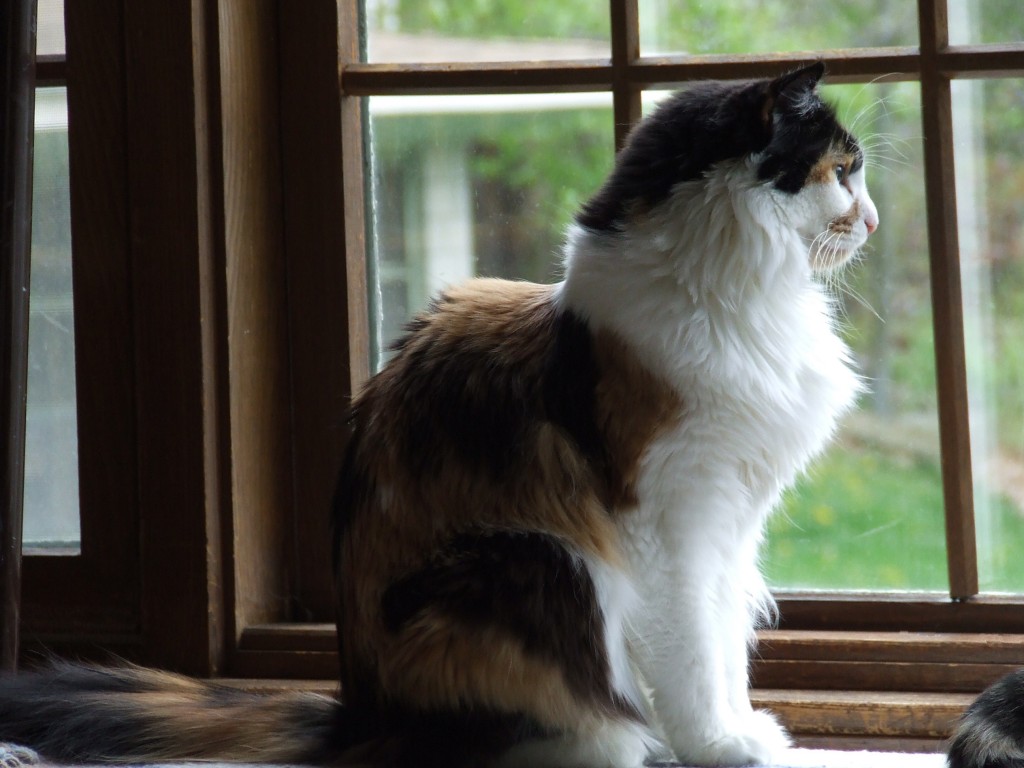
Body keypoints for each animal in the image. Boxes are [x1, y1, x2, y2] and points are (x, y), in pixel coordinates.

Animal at [2, 64, 880, 768]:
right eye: (845, 172)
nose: (871, 220)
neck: (731, 293)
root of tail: (359, 716)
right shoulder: (673, 519)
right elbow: (694, 653)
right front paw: (719, 747)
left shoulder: (732, 517)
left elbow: (725, 641)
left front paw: (742, 730)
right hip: (540, 558)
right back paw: (617, 745)